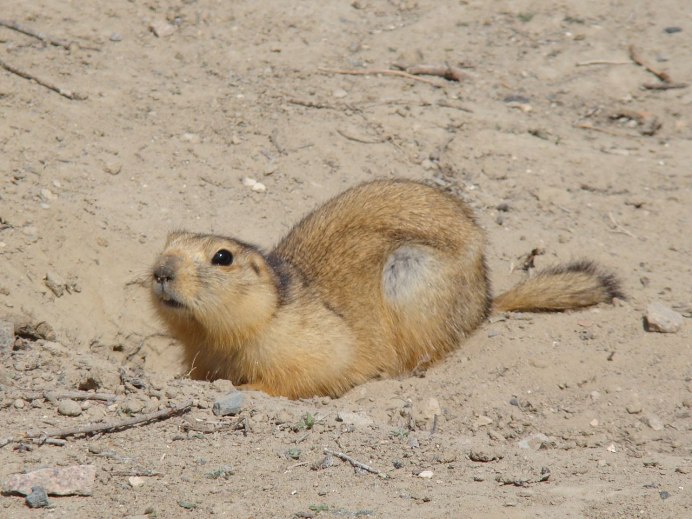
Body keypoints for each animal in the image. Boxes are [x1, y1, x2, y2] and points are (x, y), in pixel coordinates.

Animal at [151, 181, 620, 400]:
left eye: (222, 257)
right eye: (167, 241)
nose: (160, 271)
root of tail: (485, 299)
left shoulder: (306, 338)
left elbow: (313, 367)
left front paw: (247, 390)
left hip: (415, 280)